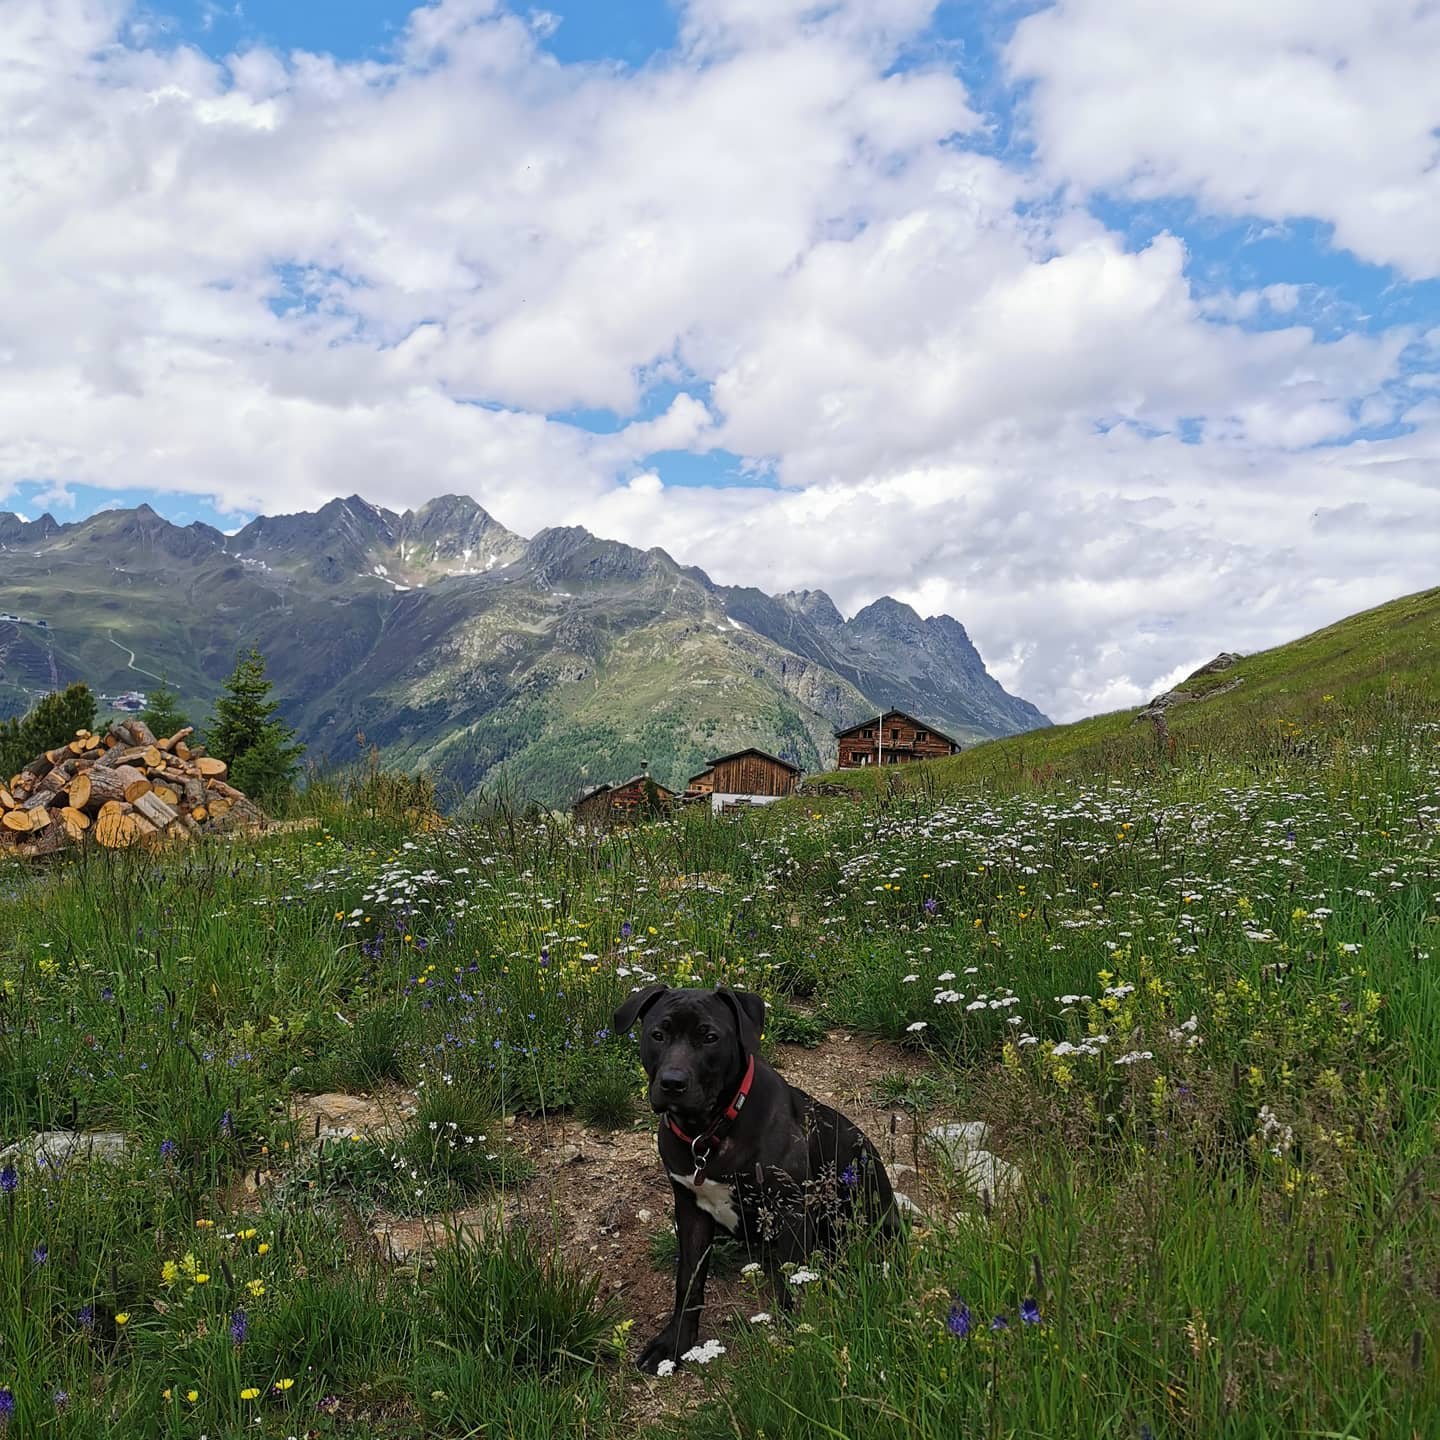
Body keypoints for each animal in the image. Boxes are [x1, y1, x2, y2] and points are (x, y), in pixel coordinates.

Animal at [614, 983, 900, 1373]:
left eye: (710, 1037)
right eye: (658, 1034)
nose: (672, 1083)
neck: (709, 1132)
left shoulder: (791, 1211)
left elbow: (792, 1283)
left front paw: (796, 1336)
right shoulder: (690, 1211)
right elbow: (688, 1282)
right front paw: (675, 1343)